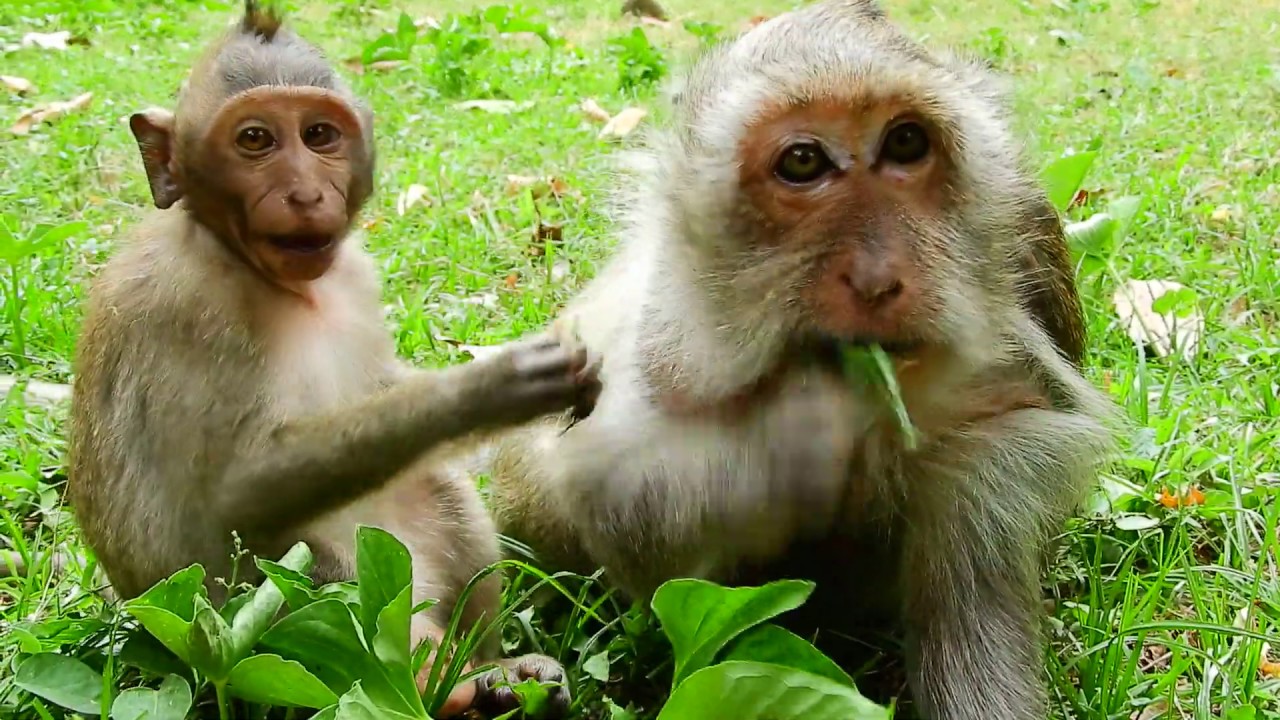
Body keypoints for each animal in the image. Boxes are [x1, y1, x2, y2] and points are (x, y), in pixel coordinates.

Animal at [65, 3, 595, 717]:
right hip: (229, 632)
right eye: (255, 141)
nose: (304, 193)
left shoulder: (354, 274)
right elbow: (234, 496)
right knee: (295, 568)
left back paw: (491, 673)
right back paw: (445, 689)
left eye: (318, 135)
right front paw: (494, 386)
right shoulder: (188, 305)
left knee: (434, 487)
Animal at [485, 2, 1118, 718]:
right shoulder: (659, 328)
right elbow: (613, 491)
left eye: (905, 144)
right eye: (803, 161)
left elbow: (1011, 445)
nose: (876, 278)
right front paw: (799, 436)